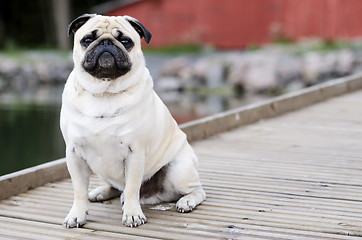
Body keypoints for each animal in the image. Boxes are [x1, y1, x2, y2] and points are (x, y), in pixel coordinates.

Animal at [60, 14, 205, 228]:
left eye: (126, 41)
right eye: (87, 39)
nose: (106, 42)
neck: (105, 93)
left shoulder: (135, 152)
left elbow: (131, 188)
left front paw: (132, 214)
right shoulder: (74, 153)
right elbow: (79, 190)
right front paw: (76, 214)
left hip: (178, 169)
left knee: (197, 190)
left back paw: (187, 201)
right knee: (115, 187)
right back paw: (101, 191)